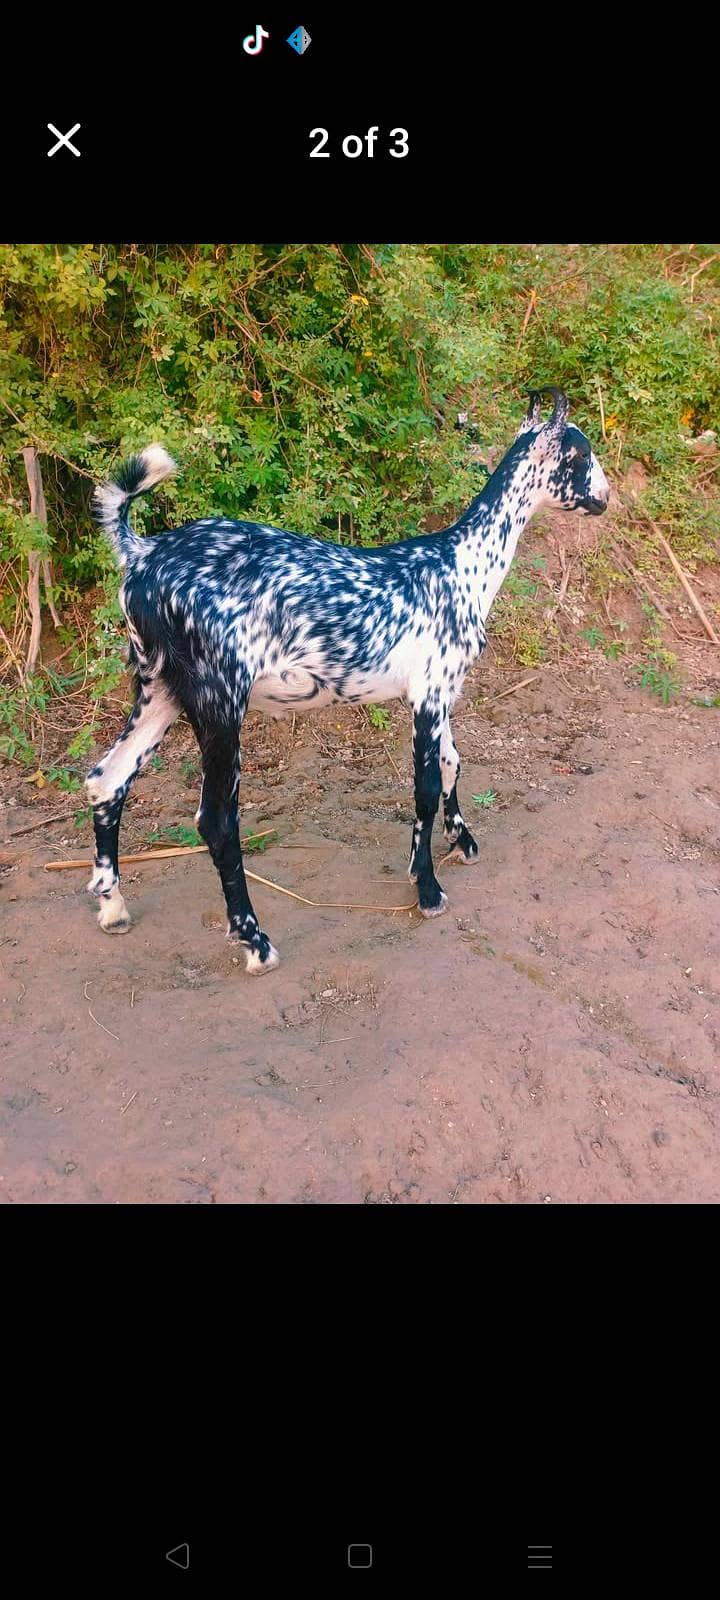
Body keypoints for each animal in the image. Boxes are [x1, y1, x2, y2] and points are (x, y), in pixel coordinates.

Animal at [87, 388, 609, 973]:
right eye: (580, 455)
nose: (606, 497)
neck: (461, 566)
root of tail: (142, 555)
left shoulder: (440, 692)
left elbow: (453, 761)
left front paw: (461, 841)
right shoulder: (428, 693)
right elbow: (425, 788)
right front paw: (427, 889)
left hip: (160, 689)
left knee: (106, 779)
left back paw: (113, 908)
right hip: (219, 698)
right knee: (216, 820)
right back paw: (255, 941)